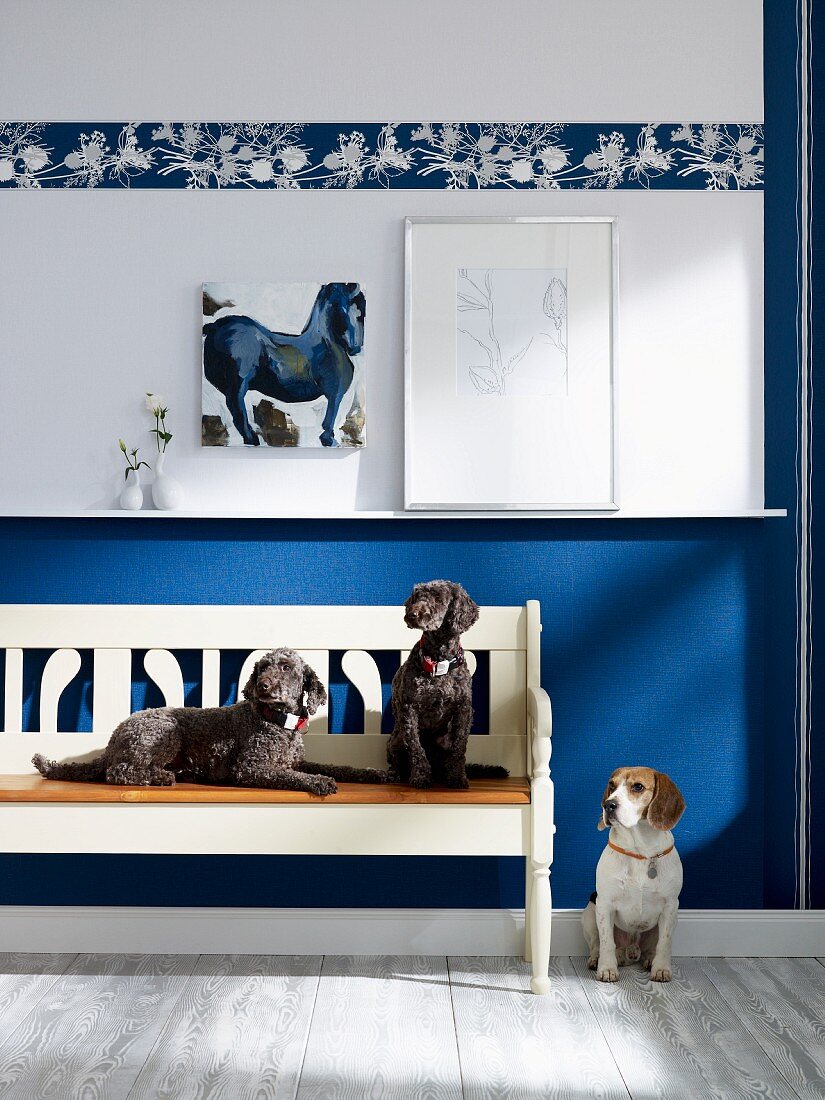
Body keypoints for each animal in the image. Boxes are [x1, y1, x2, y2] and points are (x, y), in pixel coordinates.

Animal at [585, 770, 686, 985]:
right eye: (612, 785)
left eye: (638, 786)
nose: (608, 805)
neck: (641, 850)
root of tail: (632, 949)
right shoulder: (604, 904)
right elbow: (606, 941)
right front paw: (607, 969)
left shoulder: (671, 905)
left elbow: (665, 943)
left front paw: (661, 969)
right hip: (589, 911)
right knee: (598, 943)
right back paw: (600, 959)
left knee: (652, 947)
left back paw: (649, 959)